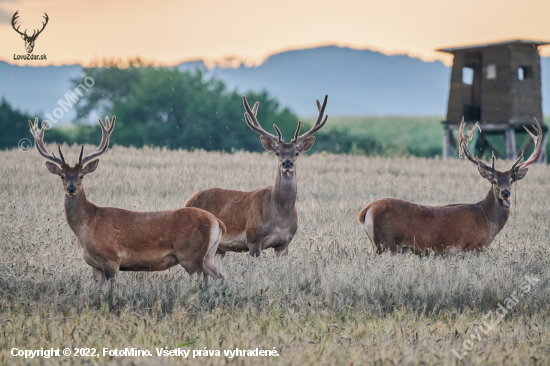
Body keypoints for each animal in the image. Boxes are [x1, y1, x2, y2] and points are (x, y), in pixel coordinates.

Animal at [29, 117, 224, 284]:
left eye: (81, 175)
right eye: (62, 175)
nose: (71, 188)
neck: (88, 225)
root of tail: (216, 221)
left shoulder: (111, 258)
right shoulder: (95, 265)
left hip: (191, 255)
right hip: (208, 256)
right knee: (220, 278)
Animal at [185, 94, 330, 258]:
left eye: (297, 153)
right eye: (277, 152)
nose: (287, 163)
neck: (280, 215)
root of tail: (189, 201)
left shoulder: (285, 243)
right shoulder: (253, 239)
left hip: (219, 249)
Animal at [358, 118, 544, 254]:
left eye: (512, 180)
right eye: (494, 180)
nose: (505, 193)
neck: (485, 220)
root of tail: (366, 211)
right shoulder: (469, 247)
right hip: (386, 244)